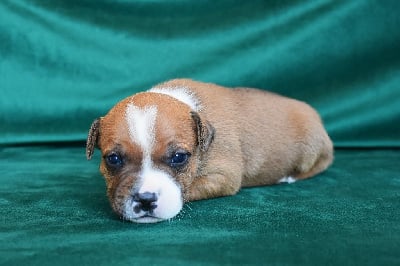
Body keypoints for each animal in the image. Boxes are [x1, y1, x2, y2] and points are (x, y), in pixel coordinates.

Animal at [87, 78, 334, 222]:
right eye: (113, 159)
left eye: (179, 157)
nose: (145, 199)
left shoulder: (224, 177)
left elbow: (193, 187)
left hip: (311, 150)